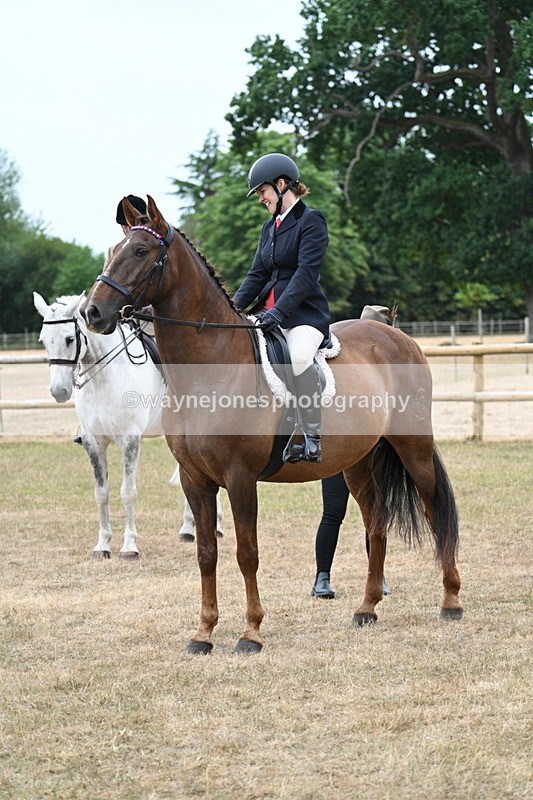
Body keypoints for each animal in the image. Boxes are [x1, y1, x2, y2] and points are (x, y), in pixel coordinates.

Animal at [33, 291, 223, 557]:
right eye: (43, 340)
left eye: (70, 339)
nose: (58, 391)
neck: (104, 378)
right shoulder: (93, 442)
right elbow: (101, 493)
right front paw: (102, 544)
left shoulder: (130, 441)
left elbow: (128, 493)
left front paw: (129, 546)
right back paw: (188, 528)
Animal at [82, 195, 463, 653]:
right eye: (112, 252)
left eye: (140, 251)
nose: (92, 312)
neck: (210, 367)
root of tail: (397, 335)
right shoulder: (195, 479)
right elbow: (206, 553)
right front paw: (203, 633)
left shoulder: (240, 476)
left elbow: (247, 553)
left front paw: (251, 633)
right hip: (357, 461)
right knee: (377, 523)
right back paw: (366, 608)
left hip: (413, 446)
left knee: (433, 507)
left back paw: (451, 601)